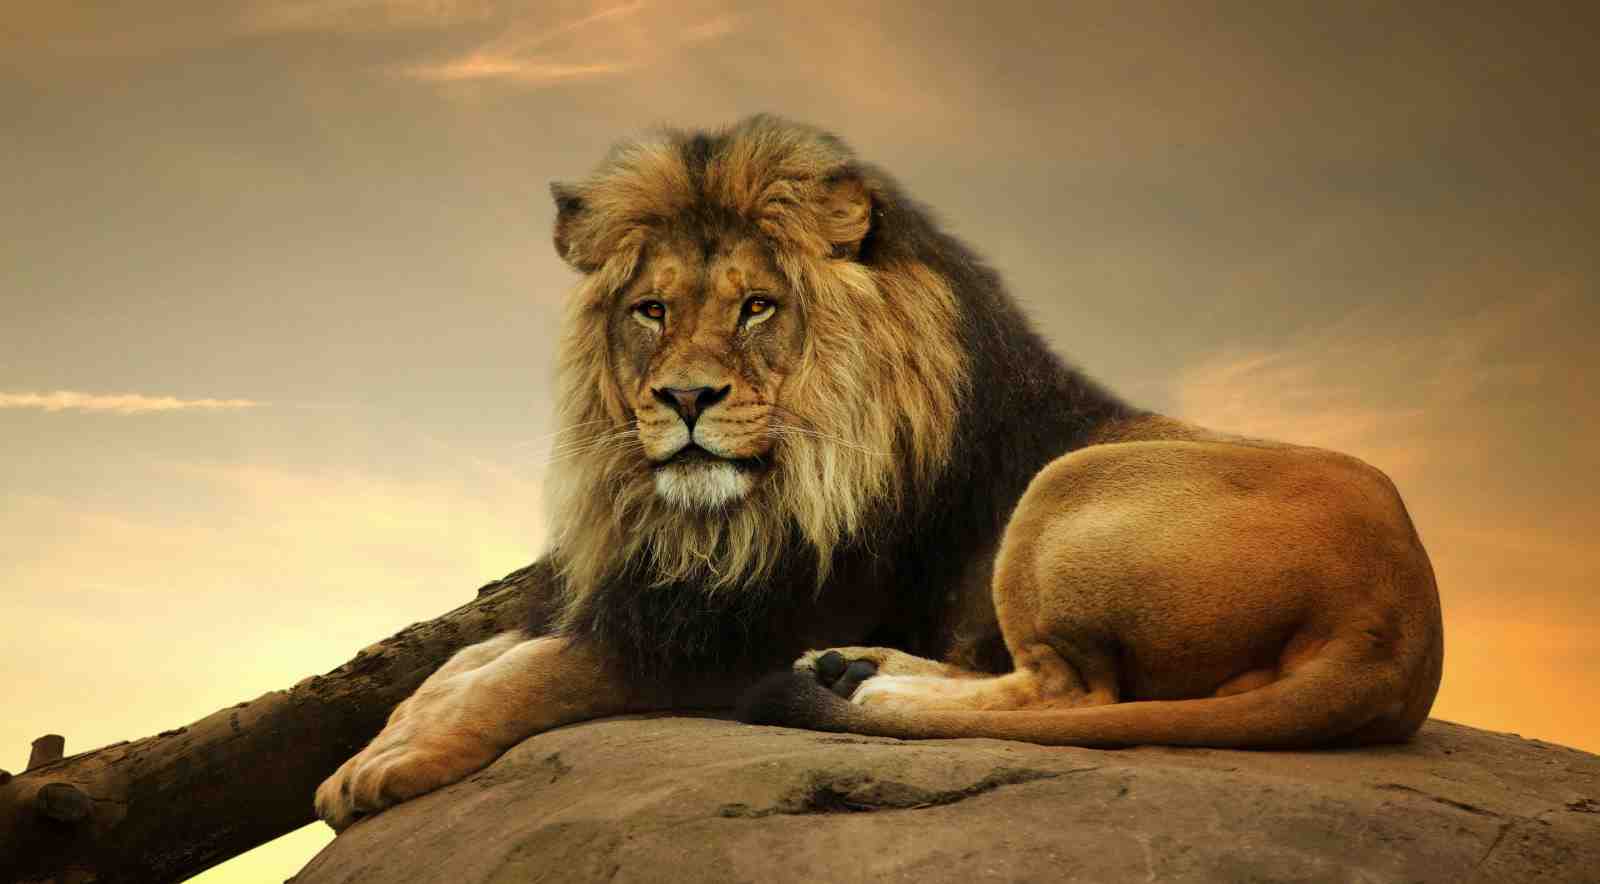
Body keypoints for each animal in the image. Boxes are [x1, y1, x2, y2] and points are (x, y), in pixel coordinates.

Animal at [314, 115, 1443, 831]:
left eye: (756, 307)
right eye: (650, 311)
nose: (684, 400)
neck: (724, 514)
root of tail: (1399, 626)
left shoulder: (727, 631)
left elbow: (534, 672)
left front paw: (395, 764)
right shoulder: (654, 591)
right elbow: (471, 659)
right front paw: (379, 743)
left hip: (1065, 489)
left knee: (1066, 688)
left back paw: (856, 678)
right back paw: (852, 670)